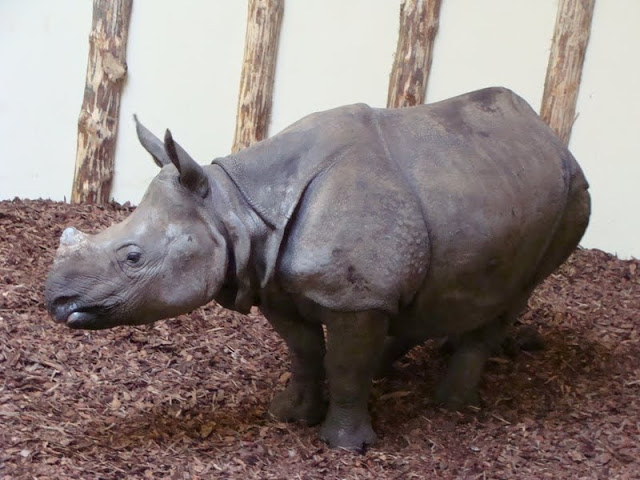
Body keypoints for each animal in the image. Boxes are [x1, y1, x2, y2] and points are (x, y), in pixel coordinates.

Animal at [45, 87, 590, 450]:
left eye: (133, 257)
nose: (56, 301)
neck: (234, 209)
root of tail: (549, 136)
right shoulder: (273, 282)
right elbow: (305, 351)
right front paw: (289, 415)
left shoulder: (353, 298)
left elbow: (344, 363)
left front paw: (345, 446)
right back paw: (393, 369)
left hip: (572, 201)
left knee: (515, 293)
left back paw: (453, 404)